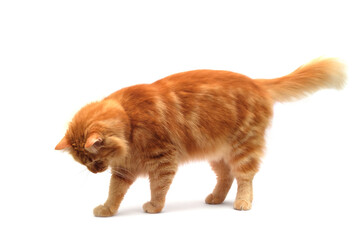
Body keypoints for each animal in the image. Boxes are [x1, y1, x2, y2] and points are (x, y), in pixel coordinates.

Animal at [55, 58, 346, 218]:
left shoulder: (163, 160)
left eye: (93, 158)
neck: (129, 120)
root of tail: (256, 82)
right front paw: (107, 209)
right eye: (83, 163)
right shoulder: (124, 170)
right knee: (226, 176)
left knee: (245, 177)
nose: (94, 171)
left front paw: (154, 206)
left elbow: (157, 188)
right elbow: (114, 193)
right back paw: (216, 198)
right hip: (218, 153)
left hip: (243, 148)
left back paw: (242, 202)